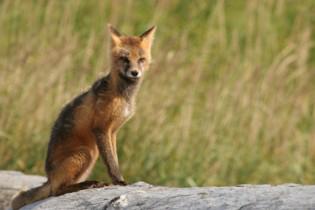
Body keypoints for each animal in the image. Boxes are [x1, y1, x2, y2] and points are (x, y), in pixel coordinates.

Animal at [11, 23, 157, 209]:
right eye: (125, 59)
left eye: (141, 59)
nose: (134, 73)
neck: (122, 96)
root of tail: (48, 177)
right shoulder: (101, 128)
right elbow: (111, 163)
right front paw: (119, 182)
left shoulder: (113, 132)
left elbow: (114, 159)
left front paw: (119, 180)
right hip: (85, 153)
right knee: (56, 190)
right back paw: (87, 185)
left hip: (91, 156)